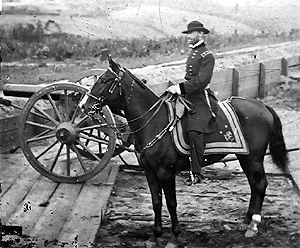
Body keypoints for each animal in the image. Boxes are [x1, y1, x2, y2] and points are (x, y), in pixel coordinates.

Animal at [80, 57, 288, 247]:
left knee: (260, 184)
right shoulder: (149, 172)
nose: (83, 105)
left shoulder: (166, 172)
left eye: (104, 80)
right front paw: (155, 236)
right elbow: (156, 202)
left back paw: (253, 225)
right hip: (245, 157)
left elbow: (171, 203)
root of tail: (262, 106)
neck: (154, 121)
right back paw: (246, 222)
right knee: (254, 185)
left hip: (254, 158)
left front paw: (174, 237)